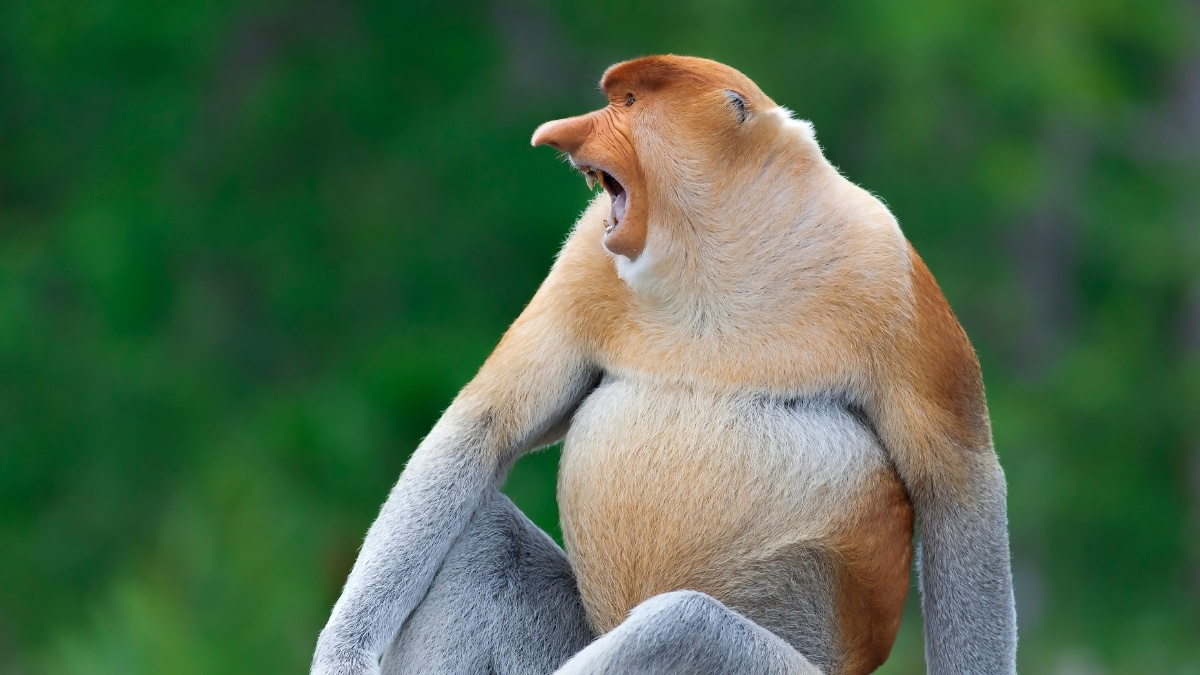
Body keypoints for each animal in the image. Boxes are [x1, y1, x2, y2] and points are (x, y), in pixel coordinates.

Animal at [312, 55, 1017, 675]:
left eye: (629, 103)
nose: (557, 133)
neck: (715, 247)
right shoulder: (586, 259)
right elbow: (485, 425)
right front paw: (343, 655)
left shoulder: (889, 271)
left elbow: (960, 486)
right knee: (479, 533)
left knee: (684, 625)